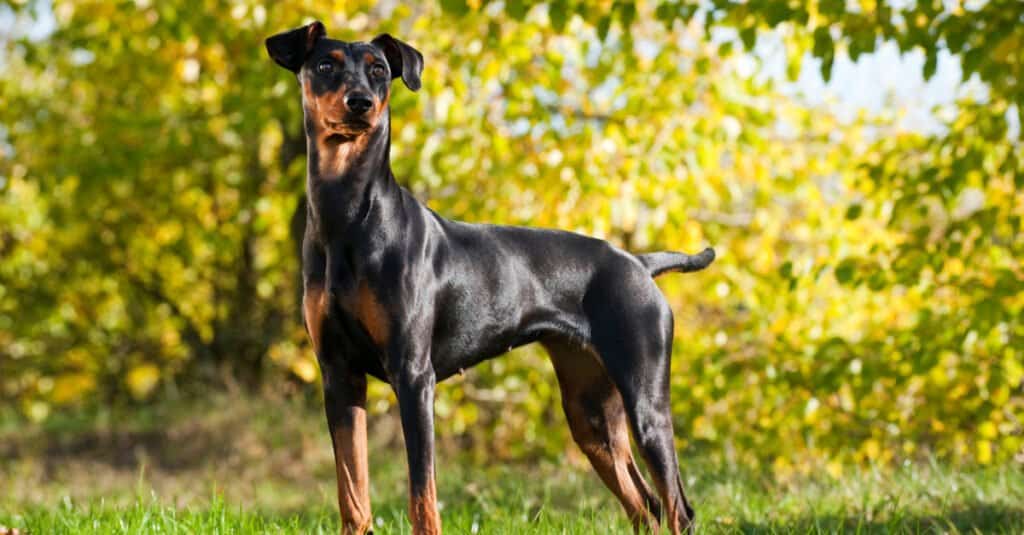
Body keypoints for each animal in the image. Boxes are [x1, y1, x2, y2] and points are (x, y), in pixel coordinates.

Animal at [264, 21, 712, 532]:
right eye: (324, 65)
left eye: (378, 70)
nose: (360, 103)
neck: (348, 217)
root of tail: (639, 263)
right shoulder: (339, 375)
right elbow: (352, 494)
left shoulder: (414, 377)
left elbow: (422, 496)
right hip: (590, 412)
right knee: (645, 506)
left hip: (646, 401)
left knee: (677, 507)